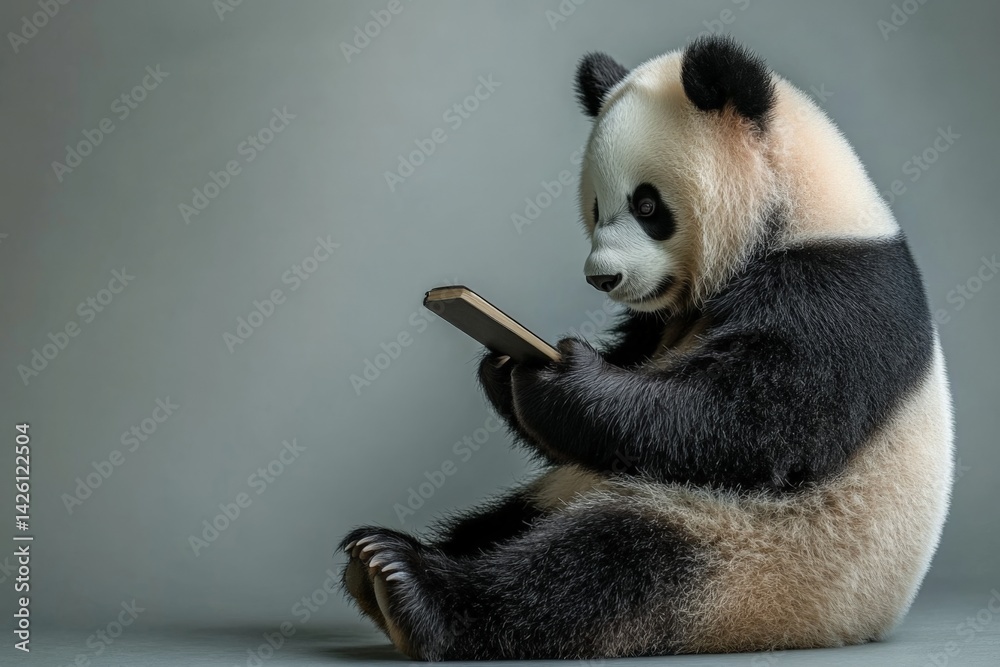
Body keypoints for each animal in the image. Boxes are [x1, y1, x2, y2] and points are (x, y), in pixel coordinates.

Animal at [338, 36, 954, 660]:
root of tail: (866, 624)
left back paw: (414, 590)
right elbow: (620, 397)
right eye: (595, 207)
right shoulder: (663, 322)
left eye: (648, 205)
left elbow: (751, 421)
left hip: (765, 554)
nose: (602, 278)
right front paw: (504, 365)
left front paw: (557, 380)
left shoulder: (839, 294)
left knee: (609, 564)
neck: (797, 206)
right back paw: (382, 559)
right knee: (513, 520)